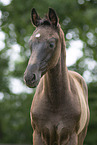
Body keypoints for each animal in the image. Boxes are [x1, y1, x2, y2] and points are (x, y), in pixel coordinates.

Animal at [24, 8, 89, 145]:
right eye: (30, 43)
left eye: (51, 44)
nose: (29, 77)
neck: (55, 101)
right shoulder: (38, 135)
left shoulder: (70, 136)